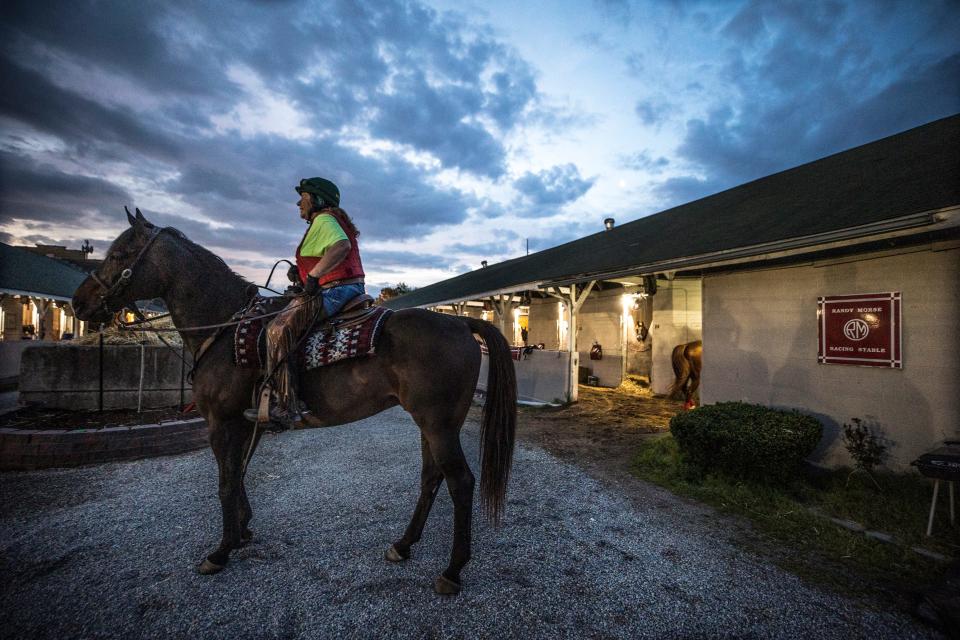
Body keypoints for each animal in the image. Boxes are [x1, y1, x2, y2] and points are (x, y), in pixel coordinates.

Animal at [72, 210, 516, 596]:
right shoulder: (245, 422)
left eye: (120, 254)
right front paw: (243, 530)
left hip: (438, 424)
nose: (79, 302)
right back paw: (403, 545)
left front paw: (221, 550)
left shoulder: (220, 420)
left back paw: (452, 571)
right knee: (431, 478)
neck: (224, 327)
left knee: (461, 482)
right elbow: (239, 473)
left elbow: (225, 480)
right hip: (431, 422)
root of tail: (462, 321)